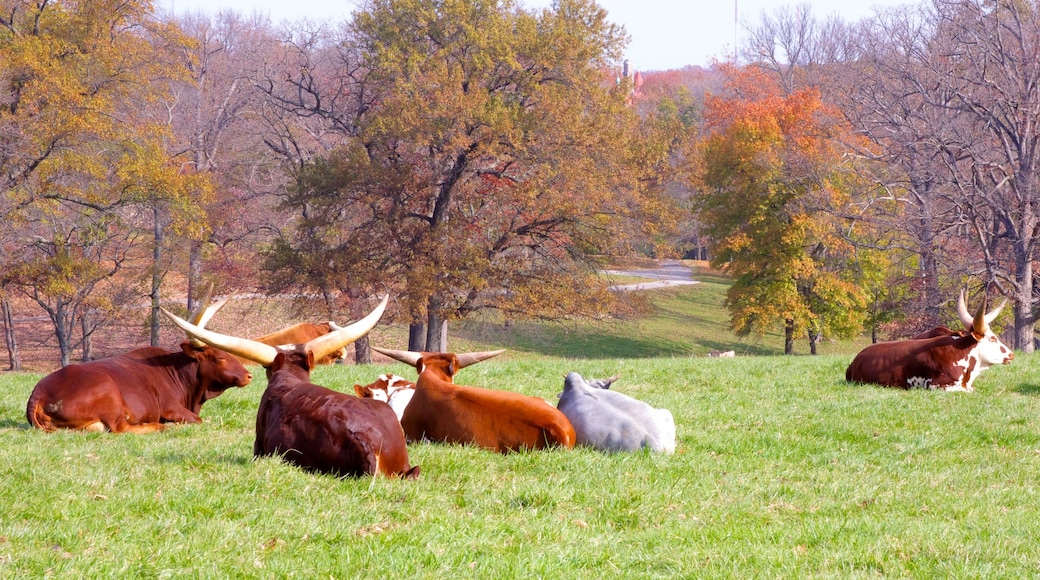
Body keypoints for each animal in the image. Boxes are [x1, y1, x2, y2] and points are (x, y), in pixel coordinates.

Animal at [26, 295, 253, 432]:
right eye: (220, 357)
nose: (248, 375)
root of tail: (39, 393)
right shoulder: (172, 408)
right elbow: (198, 420)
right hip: (109, 394)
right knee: (122, 428)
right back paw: (160, 426)